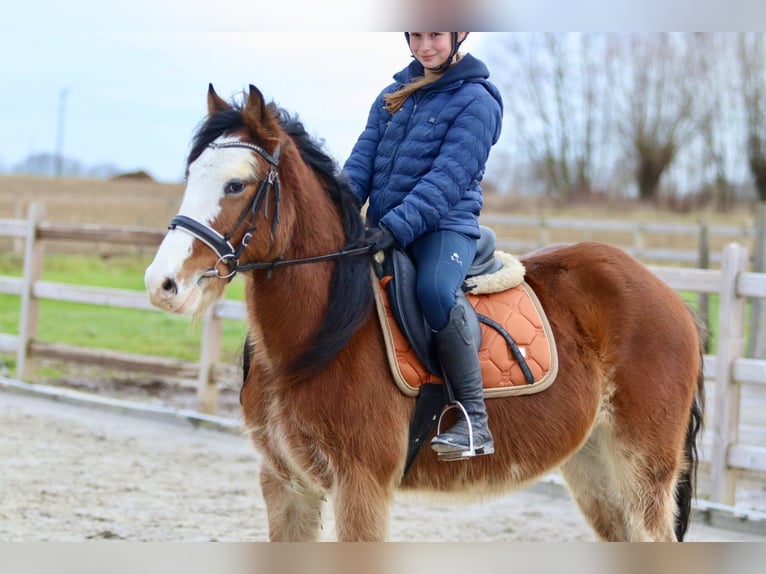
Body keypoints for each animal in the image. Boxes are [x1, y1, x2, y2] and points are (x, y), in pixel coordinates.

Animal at [146, 85, 708, 544]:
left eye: (236, 185)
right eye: (191, 175)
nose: (161, 284)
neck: (319, 339)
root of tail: (669, 296)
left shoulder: (361, 488)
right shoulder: (285, 485)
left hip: (642, 468)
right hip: (594, 467)